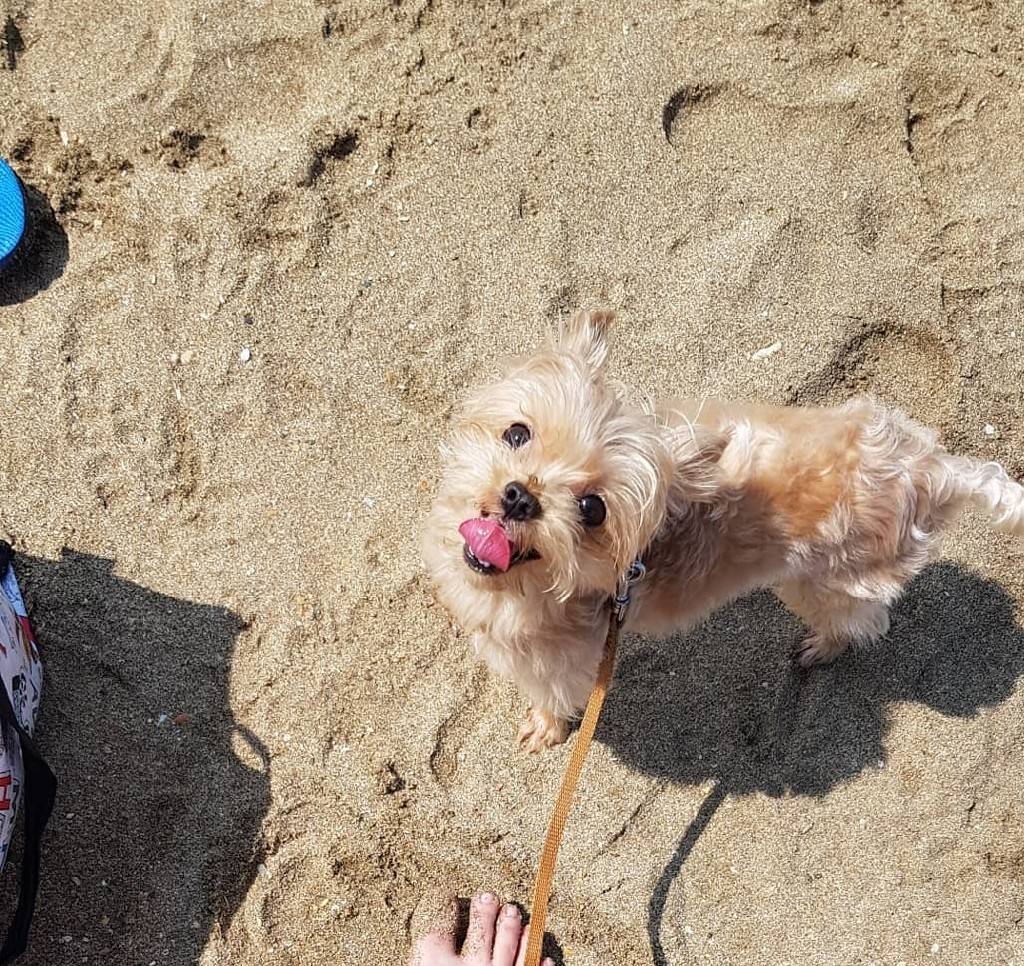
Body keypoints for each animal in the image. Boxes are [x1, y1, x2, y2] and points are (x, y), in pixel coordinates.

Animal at [422, 310, 1024, 752]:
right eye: (516, 433)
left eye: (592, 509)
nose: (520, 496)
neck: (518, 585)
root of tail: (931, 469)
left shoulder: (560, 665)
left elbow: (552, 698)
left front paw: (545, 728)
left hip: (823, 581)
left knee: (863, 621)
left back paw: (822, 646)